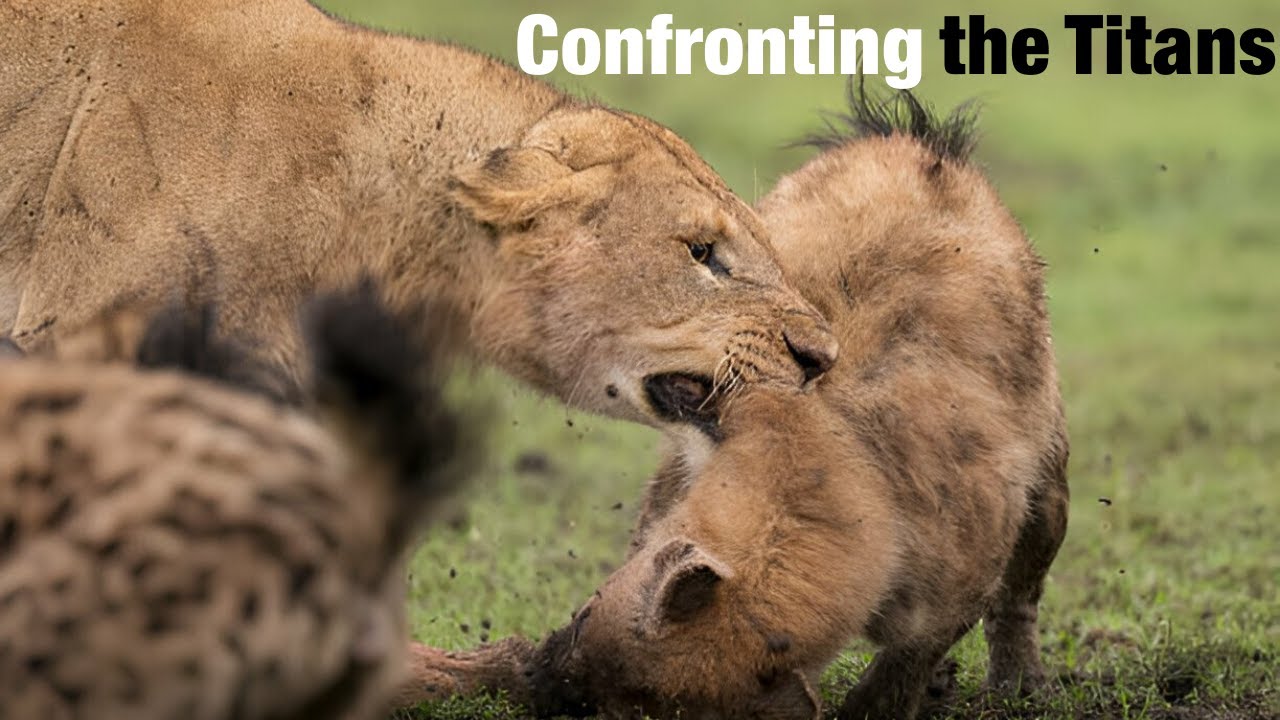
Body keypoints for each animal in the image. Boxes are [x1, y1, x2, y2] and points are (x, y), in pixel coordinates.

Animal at [397, 89, 1070, 720]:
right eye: (584, 617)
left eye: (632, 710)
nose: (539, 682)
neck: (842, 468)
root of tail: (920, 143)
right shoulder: (686, 464)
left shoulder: (958, 578)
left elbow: (911, 659)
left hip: (1051, 482)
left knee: (1027, 580)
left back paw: (1021, 686)